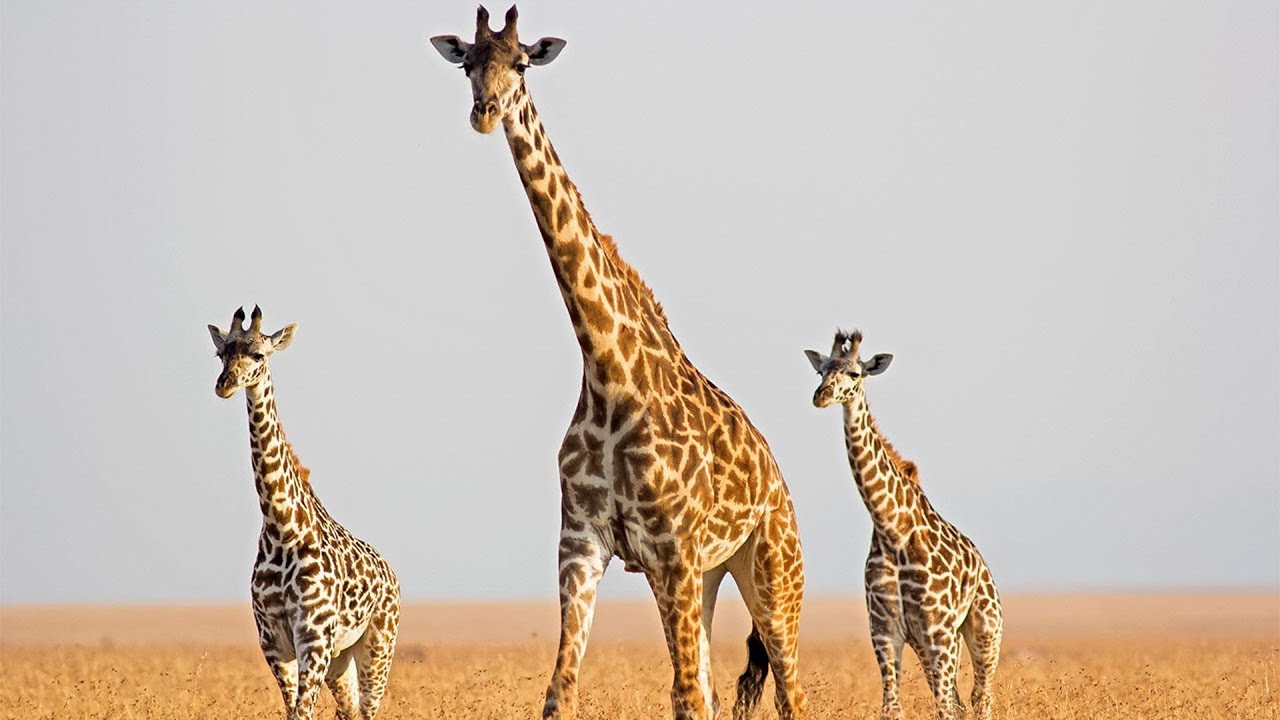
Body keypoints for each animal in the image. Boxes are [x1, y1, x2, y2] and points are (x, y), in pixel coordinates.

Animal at [208, 306, 401, 720]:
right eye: (221, 353)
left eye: (259, 355)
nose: (225, 384)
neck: (283, 524)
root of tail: (391, 574)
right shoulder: (274, 642)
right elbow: (294, 712)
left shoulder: (312, 638)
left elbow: (302, 712)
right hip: (340, 656)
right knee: (349, 711)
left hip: (378, 644)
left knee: (368, 709)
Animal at [430, 7, 808, 720]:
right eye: (468, 62)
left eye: (522, 62)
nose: (485, 112)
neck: (607, 371)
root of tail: (775, 476)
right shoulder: (581, 545)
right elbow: (562, 693)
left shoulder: (670, 550)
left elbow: (684, 694)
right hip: (711, 574)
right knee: (716, 684)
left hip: (771, 567)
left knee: (788, 690)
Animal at [804, 329, 1003, 720]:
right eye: (821, 371)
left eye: (855, 373)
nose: (822, 396)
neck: (891, 528)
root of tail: (984, 567)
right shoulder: (884, 631)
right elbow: (893, 707)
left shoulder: (936, 631)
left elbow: (944, 708)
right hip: (935, 645)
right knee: (961, 700)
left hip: (982, 632)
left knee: (979, 698)